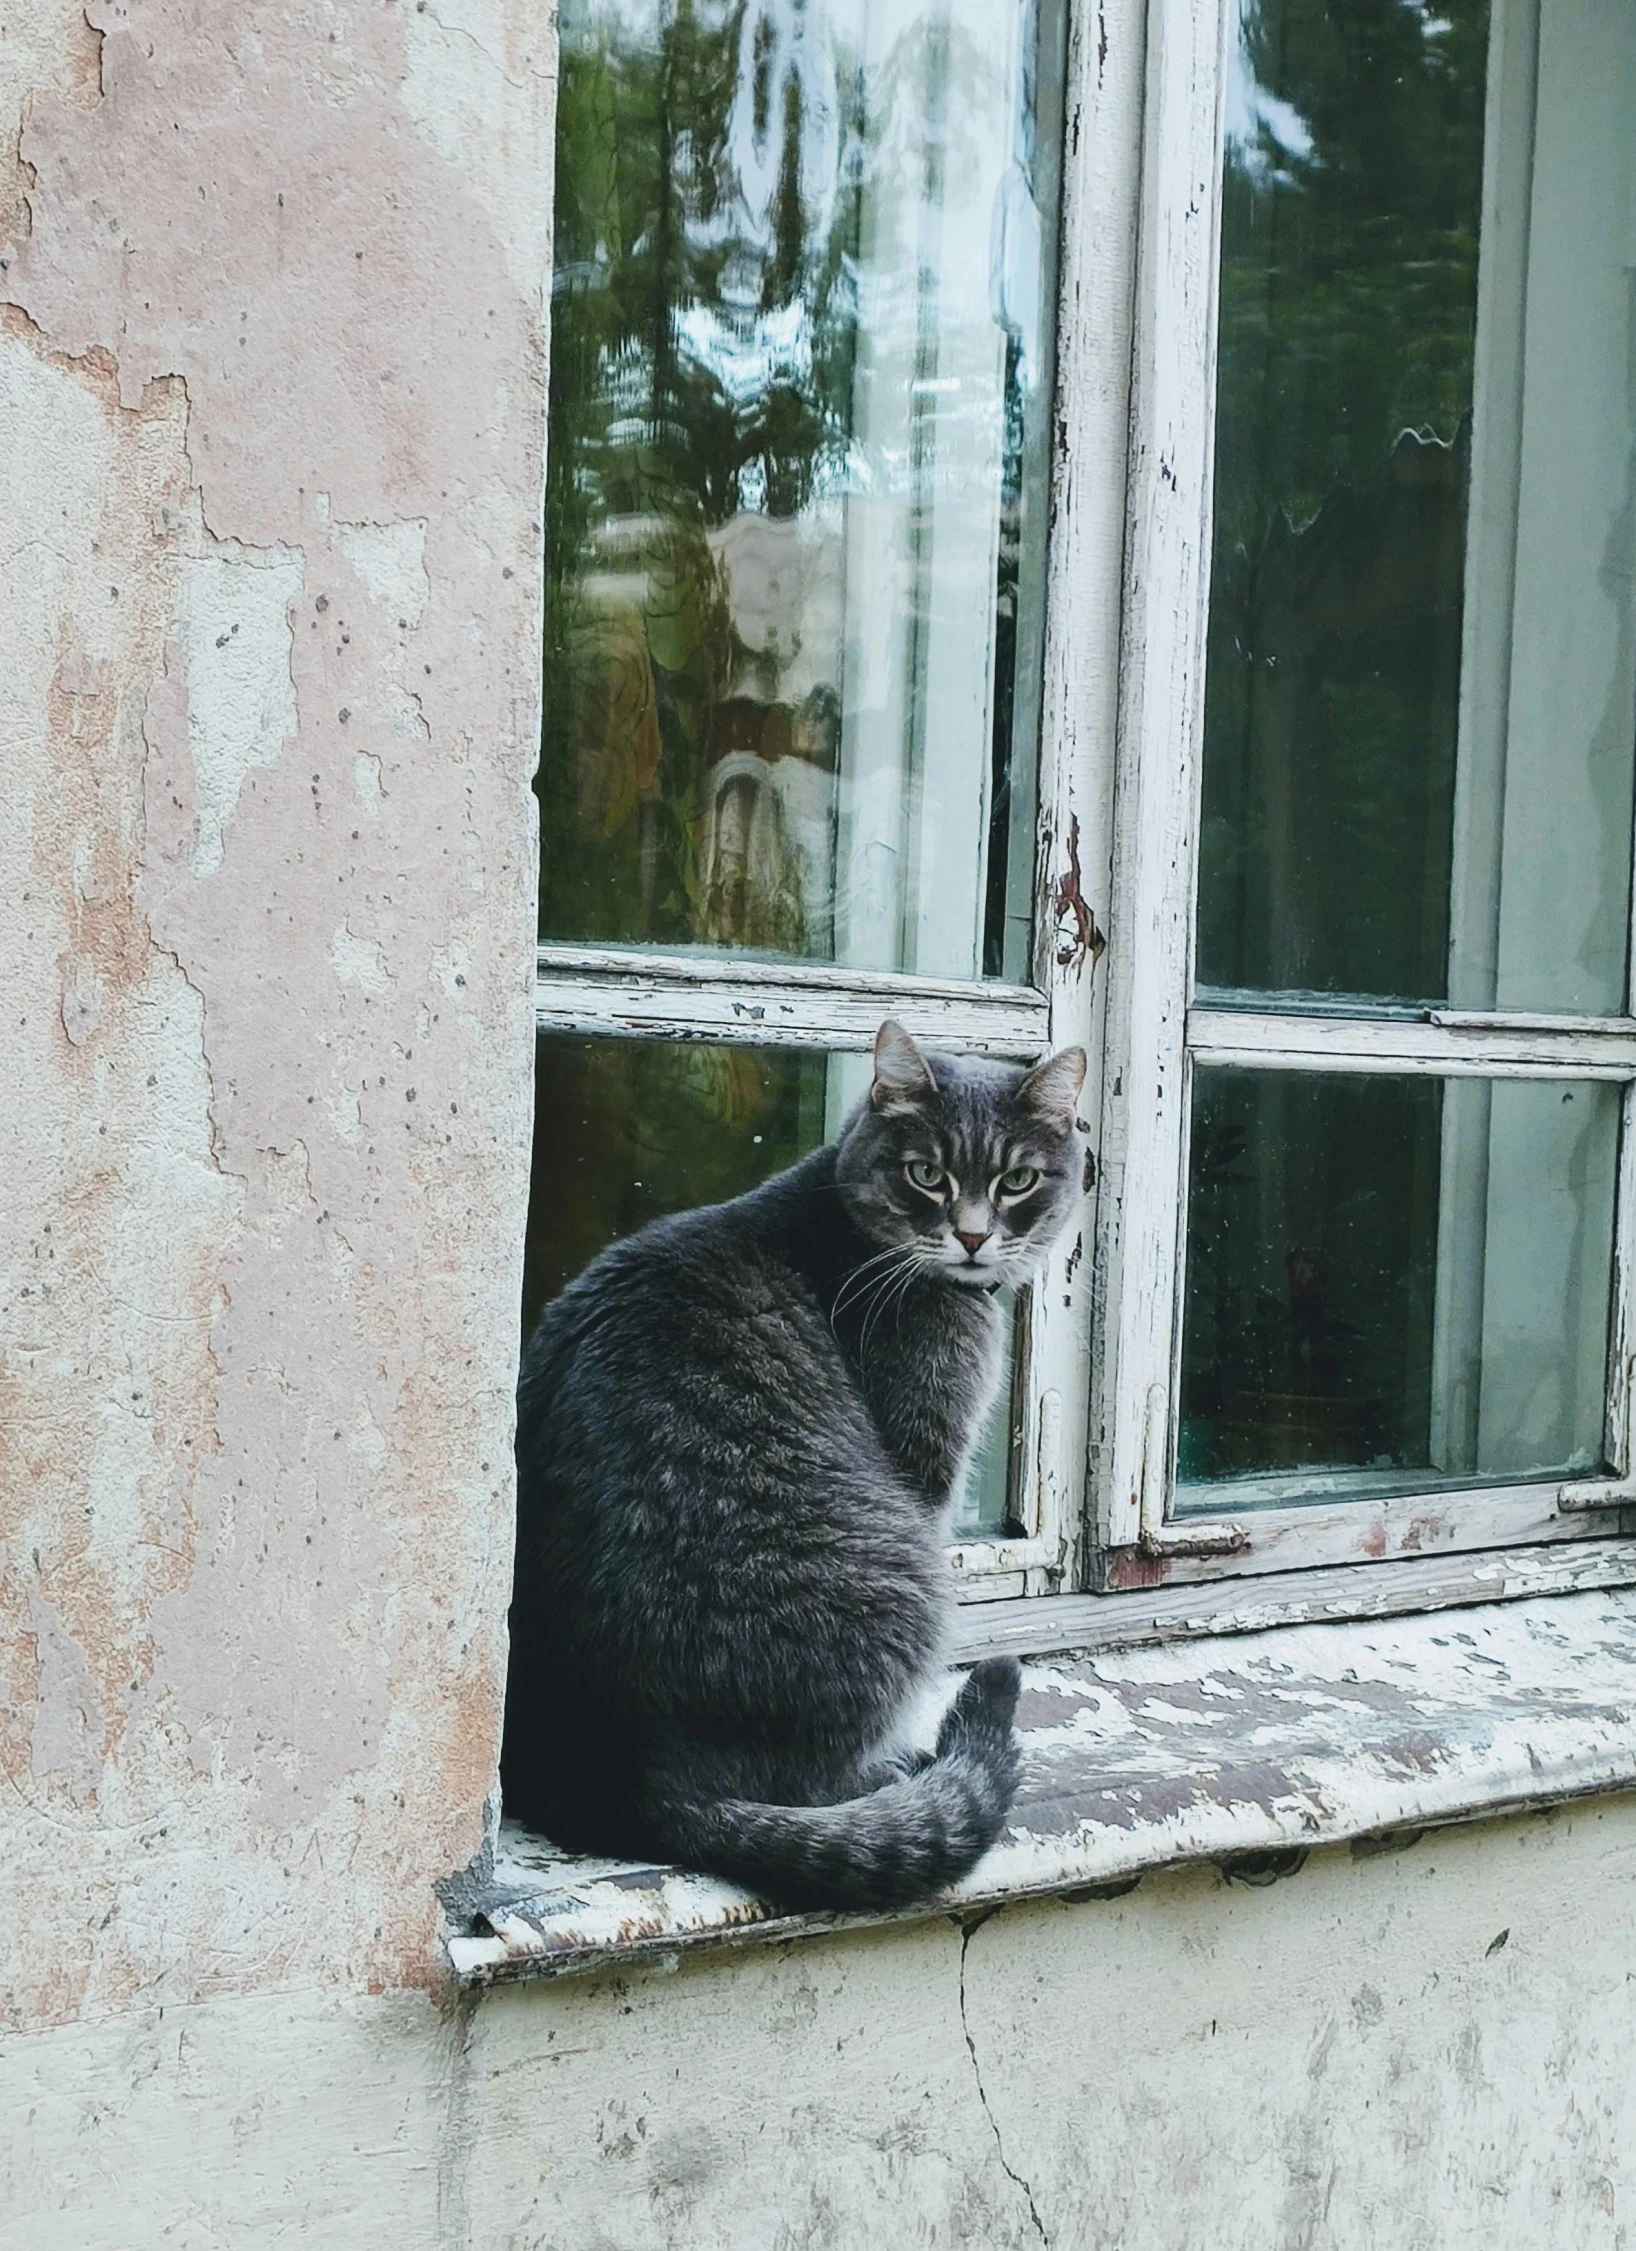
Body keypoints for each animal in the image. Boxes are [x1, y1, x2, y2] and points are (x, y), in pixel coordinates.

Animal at [499, 1021, 1089, 1899]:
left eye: (1017, 1179)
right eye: (927, 1173)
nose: (974, 1235)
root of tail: (631, 1781)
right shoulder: (925, 1465)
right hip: (902, 1579)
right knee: (802, 1783)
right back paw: (890, 1768)